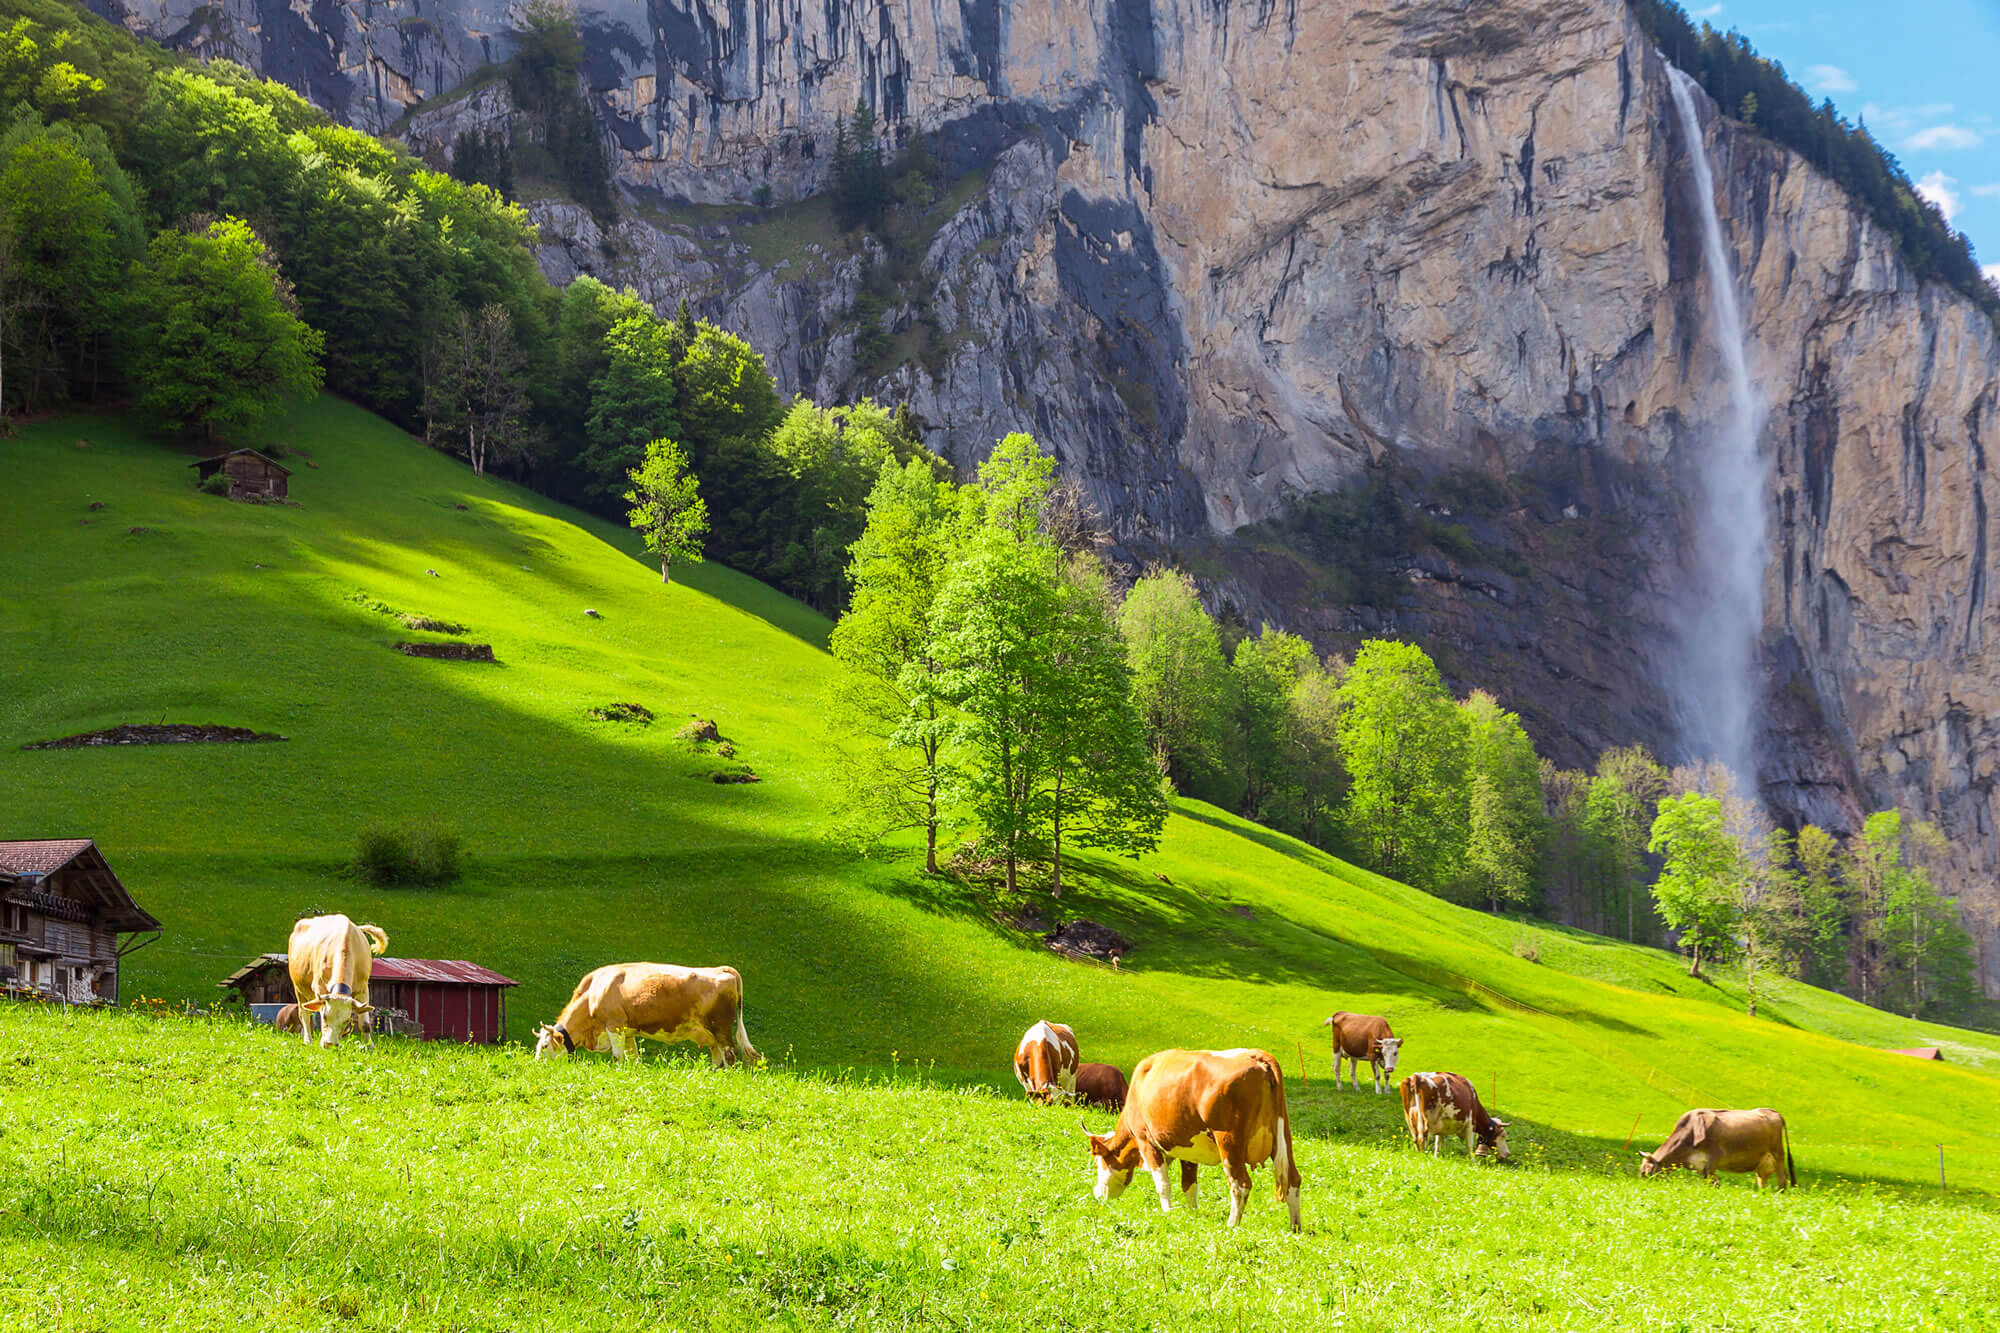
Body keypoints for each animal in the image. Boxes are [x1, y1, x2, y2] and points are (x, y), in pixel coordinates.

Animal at [288, 912, 388, 1048]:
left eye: (346, 1020)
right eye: (325, 1017)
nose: (329, 1044)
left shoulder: (363, 989)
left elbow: (365, 1025)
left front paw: (370, 1047)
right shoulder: (319, 988)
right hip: (298, 989)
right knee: (304, 1014)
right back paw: (308, 1040)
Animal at [536, 960, 760, 1064]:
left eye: (545, 1046)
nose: (536, 1064)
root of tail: (721, 969)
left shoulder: (614, 1026)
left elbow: (618, 1056)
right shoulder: (627, 1032)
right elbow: (633, 1058)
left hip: (721, 1028)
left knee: (730, 1055)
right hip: (711, 1034)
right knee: (718, 1057)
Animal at [1088, 1040, 1304, 1232]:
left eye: (1100, 1162)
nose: (1097, 1194)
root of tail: (1255, 1055)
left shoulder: (1146, 1142)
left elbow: (1163, 1183)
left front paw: (1167, 1212)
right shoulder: (1188, 1150)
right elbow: (1189, 1184)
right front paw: (1193, 1214)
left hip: (1229, 1142)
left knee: (1240, 1184)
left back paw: (1232, 1224)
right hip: (1283, 1136)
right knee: (1293, 1180)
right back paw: (1295, 1227)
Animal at [1640, 1096, 1800, 1184]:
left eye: (1646, 1172)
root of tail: (1772, 1112)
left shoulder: (1711, 1163)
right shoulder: (1700, 1166)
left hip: (1778, 1155)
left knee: (1782, 1180)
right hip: (1762, 1164)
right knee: (1762, 1181)